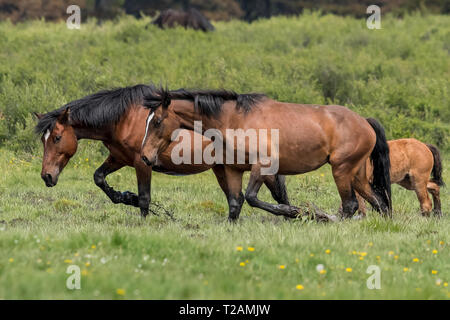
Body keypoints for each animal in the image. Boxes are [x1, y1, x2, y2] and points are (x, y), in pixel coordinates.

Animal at [34, 84, 288, 218]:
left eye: (56, 138)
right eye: (43, 140)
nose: (46, 176)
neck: (125, 117)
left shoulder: (141, 163)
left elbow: (145, 197)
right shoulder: (118, 157)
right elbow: (99, 178)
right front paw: (125, 197)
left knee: (276, 195)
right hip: (222, 169)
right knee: (237, 199)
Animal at [140, 88, 390, 222]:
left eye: (158, 121)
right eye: (147, 120)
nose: (144, 156)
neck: (234, 120)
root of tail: (364, 121)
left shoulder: (263, 165)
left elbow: (252, 198)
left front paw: (295, 212)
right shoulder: (233, 169)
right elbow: (235, 203)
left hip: (341, 170)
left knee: (350, 205)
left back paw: (325, 219)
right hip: (356, 174)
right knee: (379, 202)